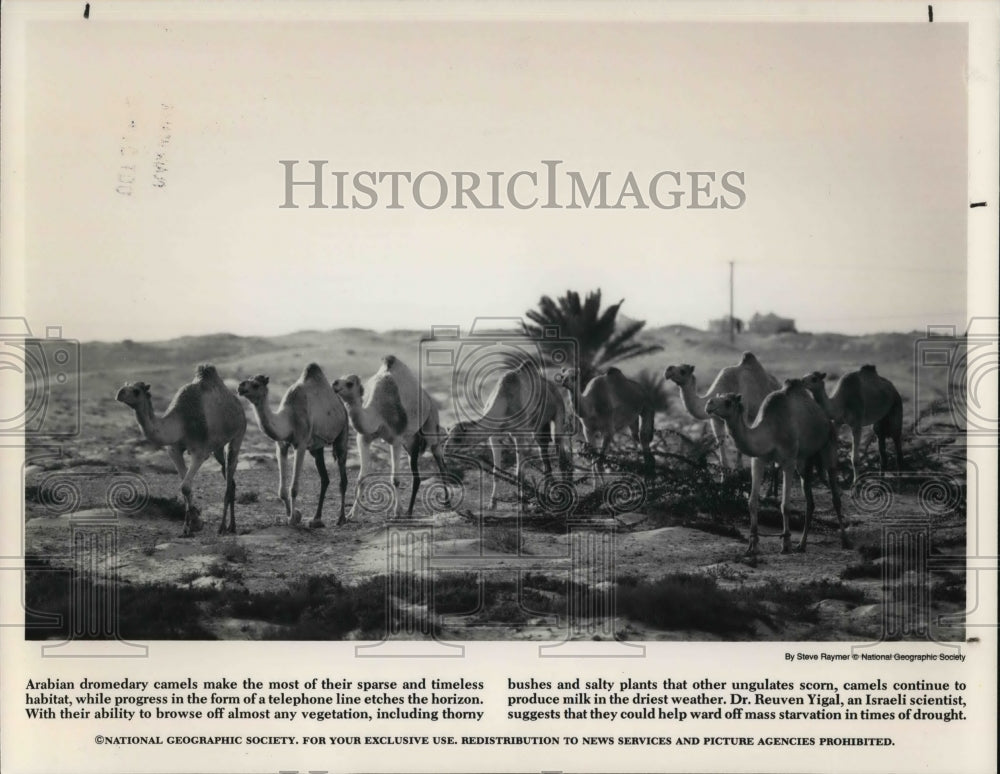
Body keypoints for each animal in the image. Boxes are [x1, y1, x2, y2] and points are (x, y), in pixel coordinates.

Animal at [114, 366, 244, 536]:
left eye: (136, 391)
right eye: (125, 384)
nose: (119, 393)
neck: (181, 422)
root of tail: (237, 403)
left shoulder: (199, 451)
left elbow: (185, 486)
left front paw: (190, 527)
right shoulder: (174, 450)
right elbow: (185, 485)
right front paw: (194, 524)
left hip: (239, 432)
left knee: (230, 471)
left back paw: (226, 527)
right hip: (218, 446)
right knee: (230, 477)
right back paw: (230, 525)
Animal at [236, 364, 350, 528]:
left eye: (255, 384)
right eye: (248, 379)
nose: (240, 386)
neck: (289, 418)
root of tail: (341, 405)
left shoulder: (300, 445)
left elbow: (294, 488)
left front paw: (291, 519)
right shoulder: (281, 446)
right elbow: (282, 491)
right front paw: (293, 515)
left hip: (343, 431)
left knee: (343, 476)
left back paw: (341, 518)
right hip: (317, 448)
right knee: (325, 478)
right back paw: (316, 519)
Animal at [332, 354, 450, 520]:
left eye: (349, 383)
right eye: (340, 378)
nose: (334, 384)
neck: (378, 412)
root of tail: (428, 398)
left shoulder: (396, 439)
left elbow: (395, 479)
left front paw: (396, 512)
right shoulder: (364, 438)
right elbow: (361, 478)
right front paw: (352, 514)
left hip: (431, 422)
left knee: (439, 459)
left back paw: (446, 502)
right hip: (410, 442)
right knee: (416, 472)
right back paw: (410, 511)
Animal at [446, 360, 572, 512]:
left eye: (457, 438)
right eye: (448, 435)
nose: (446, 449)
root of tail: (554, 388)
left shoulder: (519, 434)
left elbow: (520, 472)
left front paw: (523, 505)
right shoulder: (494, 436)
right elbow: (495, 471)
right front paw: (492, 503)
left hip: (558, 411)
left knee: (560, 451)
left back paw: (564, 493)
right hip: (539, 428)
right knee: (545, 456)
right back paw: (551, 493)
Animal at [704, 380, 844, 556]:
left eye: (728, 402)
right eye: (718, 396)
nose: (709, 404)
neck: (770, 432)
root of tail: (825, 418)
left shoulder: (789, 460)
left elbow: (785, 505)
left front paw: (786, 544)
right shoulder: (757, 460)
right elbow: (752, 502)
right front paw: (753, 546)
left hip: (829, 444)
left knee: (835, 493)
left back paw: (845, 541)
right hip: (804, 461)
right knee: (810, 502)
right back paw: (802, 545)